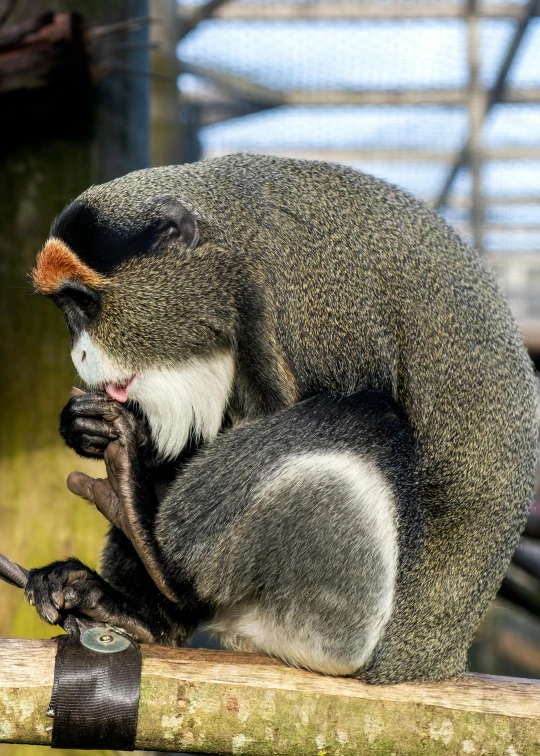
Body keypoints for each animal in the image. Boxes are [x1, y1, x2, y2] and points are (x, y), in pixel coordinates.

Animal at [24, 155, 536, 684]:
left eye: (86, 302)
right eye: (66, 307)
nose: (81, 355)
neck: (232, 248)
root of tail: (436, 660)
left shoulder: (308, 307)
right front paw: (89, 428)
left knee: (365, 418)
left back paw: (149, 541)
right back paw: (142, 614)